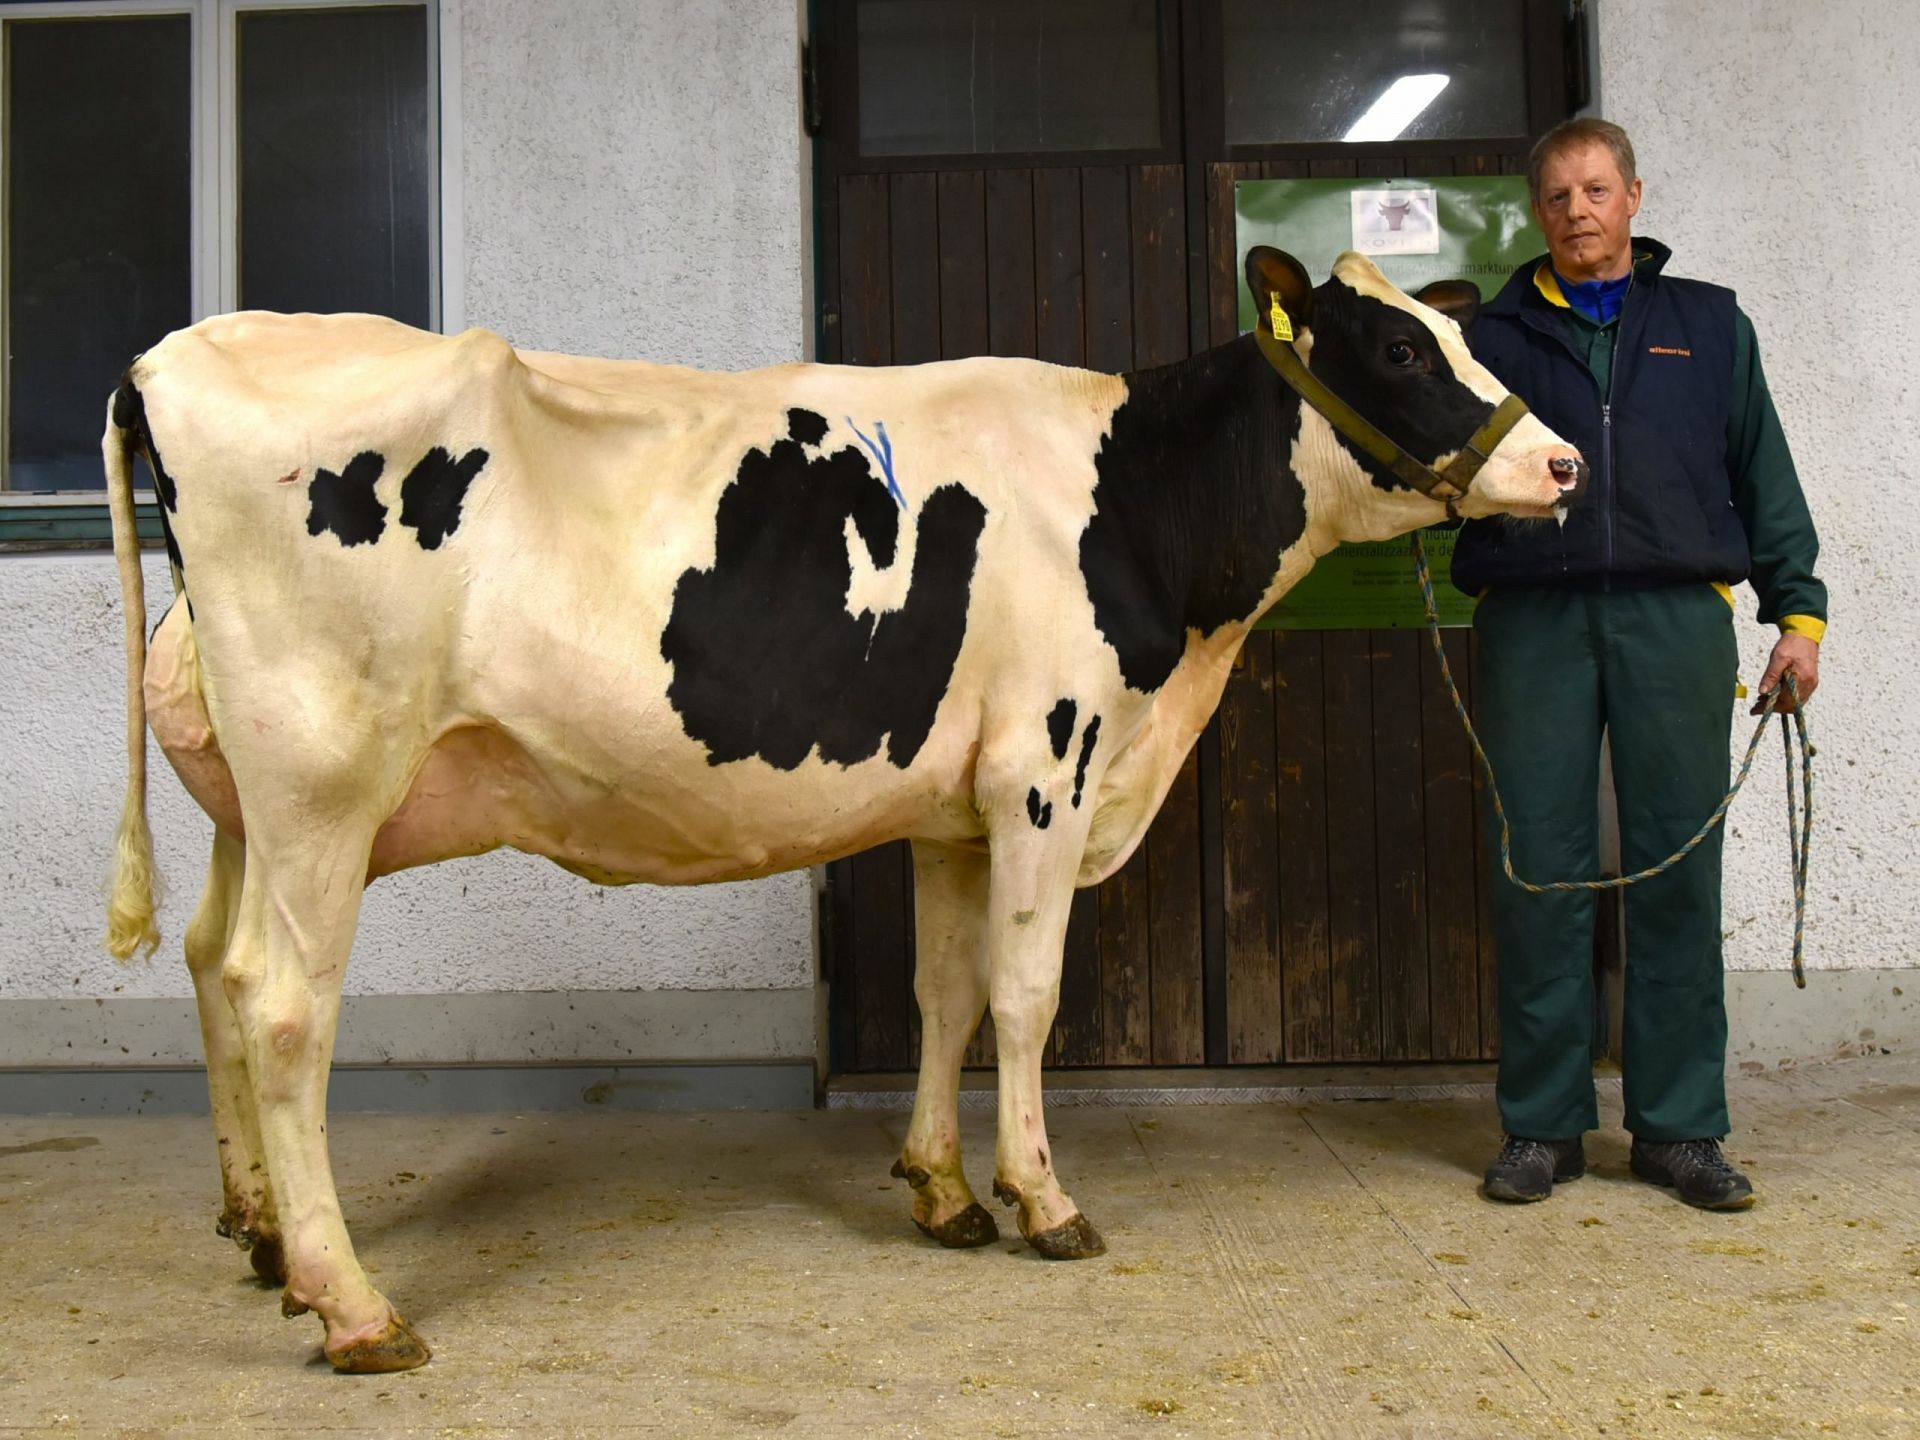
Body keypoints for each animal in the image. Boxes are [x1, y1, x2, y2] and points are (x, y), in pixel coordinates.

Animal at [97, 247, 1582, 1374]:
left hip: (250, 799)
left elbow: (945, 994)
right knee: (285, 1008)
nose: (1565, 466)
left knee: (214, 965)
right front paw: (1044, 1199)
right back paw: (353, 1306)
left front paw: (942, 1190)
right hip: (324, 782)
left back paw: (265, 1239)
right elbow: (1027, 995)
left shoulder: (951, 807)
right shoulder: (1047, 763)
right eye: (1399, 352)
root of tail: (167, 358)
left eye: (1465, 332)